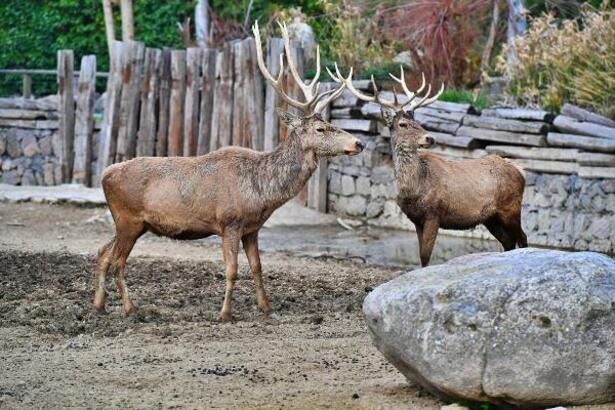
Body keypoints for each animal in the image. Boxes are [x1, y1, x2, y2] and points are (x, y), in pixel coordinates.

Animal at [92, 21, 366, 320]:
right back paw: (130, 308)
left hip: (128, 223)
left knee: (102, 252)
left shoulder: (252, 229)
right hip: (128, 219)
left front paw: (266, 308)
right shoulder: (229, 222)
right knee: (117, 261)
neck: (263, 192)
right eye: (320, 129)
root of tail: (103, 175)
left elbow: (258, 268)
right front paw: (225, 313)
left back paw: (99, 305)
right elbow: (232, 270)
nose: (359, 142)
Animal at [330, 65, 528, 266]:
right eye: (402, 124)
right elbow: (422, 256)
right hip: (491, 218)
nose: (430, 138)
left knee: (523, 238)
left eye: (417, 122)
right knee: (509, 242)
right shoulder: (416, 219)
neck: (414, 188)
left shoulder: (434, 213)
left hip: (511, 207)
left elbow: (426, 256)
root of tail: (520, 171)